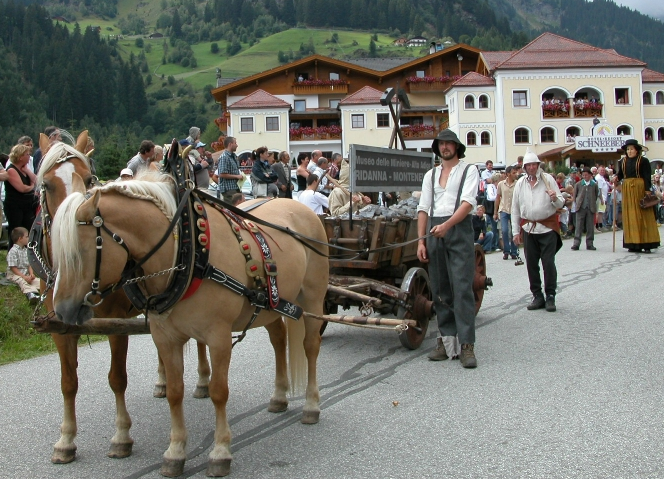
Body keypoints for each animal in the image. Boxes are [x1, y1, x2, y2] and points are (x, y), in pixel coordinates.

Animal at [35, 133, 210, 464]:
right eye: (46, 184)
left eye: (89, 179)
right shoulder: (60, 329)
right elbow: (68, 383)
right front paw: (65, 440)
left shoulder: (115, 326)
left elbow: (117, 378)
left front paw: (121, 436)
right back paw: (163, 381)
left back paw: (203, 381)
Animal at [48, 166, 326, 476]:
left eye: (81, 251)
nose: (62, 311)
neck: (188, 254)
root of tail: (297, 205)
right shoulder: (166, 338)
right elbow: (174, 392)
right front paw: (175, 451)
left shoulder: (218, 337)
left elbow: (219, 391)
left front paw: (220, 451)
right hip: (271, 305)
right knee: (279, 339)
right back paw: (279, 397)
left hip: (313, 297)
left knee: (310, 346)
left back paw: (311, 405)